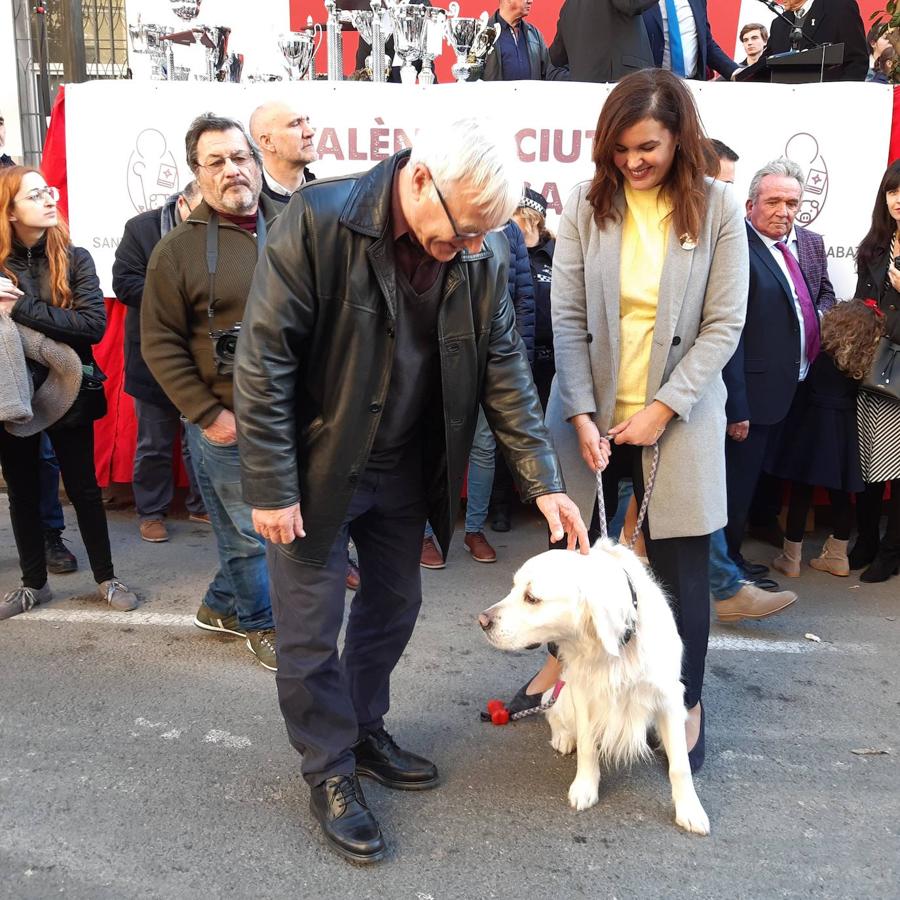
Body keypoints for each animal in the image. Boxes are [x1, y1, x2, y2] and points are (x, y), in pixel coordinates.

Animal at [478, 536, 712, 836]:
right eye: (513, 587)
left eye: (532, 598)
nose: (482, 621)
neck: (616, 645)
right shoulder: (582, 692)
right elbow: (588, 747)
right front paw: (584, 788)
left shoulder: (669, 697)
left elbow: (680, 766)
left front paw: (690, 810)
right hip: (563, 693)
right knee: (551, 709)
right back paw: (563, 737)